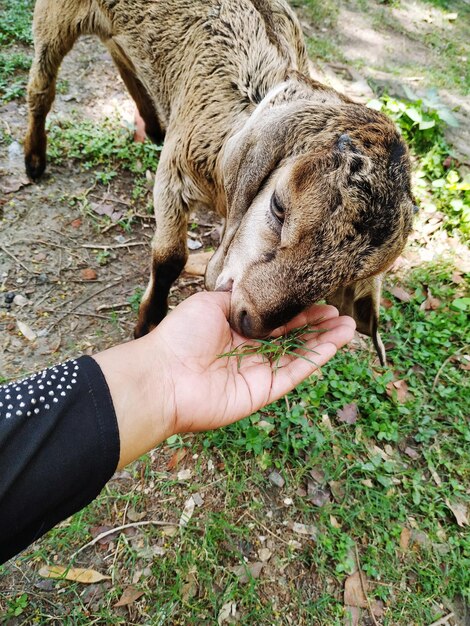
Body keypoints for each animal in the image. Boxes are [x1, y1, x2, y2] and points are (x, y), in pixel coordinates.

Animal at [23, 0, 414, 360]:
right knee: (41, 85)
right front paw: (148, 325)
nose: (249, 319)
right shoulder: (175, 172)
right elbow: (169, 257)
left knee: (119, 53)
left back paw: (153, 126)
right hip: (55, 18)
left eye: (346, 278)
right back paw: (34, 159)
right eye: (278, 207)